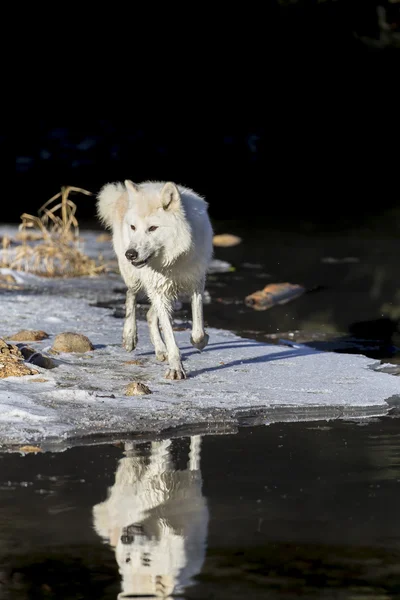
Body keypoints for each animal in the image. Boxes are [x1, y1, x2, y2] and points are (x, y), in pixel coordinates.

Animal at [97, 179, 214, 380]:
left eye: (152, 228)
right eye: (134, 227)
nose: (130, 254)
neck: (172, 261)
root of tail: (123, 195)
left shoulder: (196, 284)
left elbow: (198, 330)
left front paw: (200, 341)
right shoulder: (158, 290)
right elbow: (170, 335)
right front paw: (176, 369)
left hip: (170, 293)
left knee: (150, 315)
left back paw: (160, 350)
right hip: (136, 280)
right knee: (130, 297)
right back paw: (130, 337)